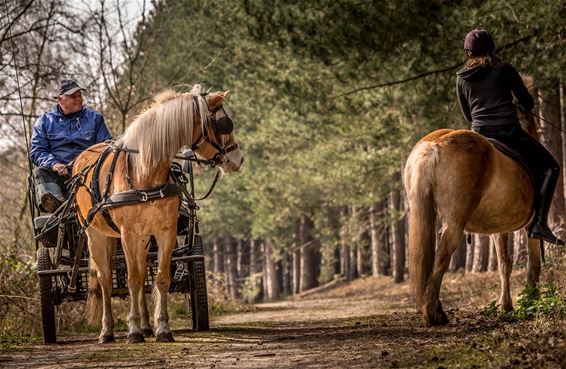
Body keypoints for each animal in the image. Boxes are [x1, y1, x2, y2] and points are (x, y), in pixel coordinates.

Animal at [73, 85, 244, 340]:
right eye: (224, 124)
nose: (238, 159)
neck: (145, 172)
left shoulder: (166, 231)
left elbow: (160, 278)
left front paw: (162, 328)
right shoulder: (127, 234)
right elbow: (133, 280)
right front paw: (133, 331)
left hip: (144, 237)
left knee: (144, 271)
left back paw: (145, 326)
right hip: (96, 235)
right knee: (105, 280)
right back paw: (107, 331)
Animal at [406, 104, 548, 324]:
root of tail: (434, 145)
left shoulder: (500, 228)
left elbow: (504, 264)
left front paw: (506, 306)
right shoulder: (530, 226)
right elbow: (533, 265)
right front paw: (532, 302)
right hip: (455, 222)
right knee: (441, 257)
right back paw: (434, 313)